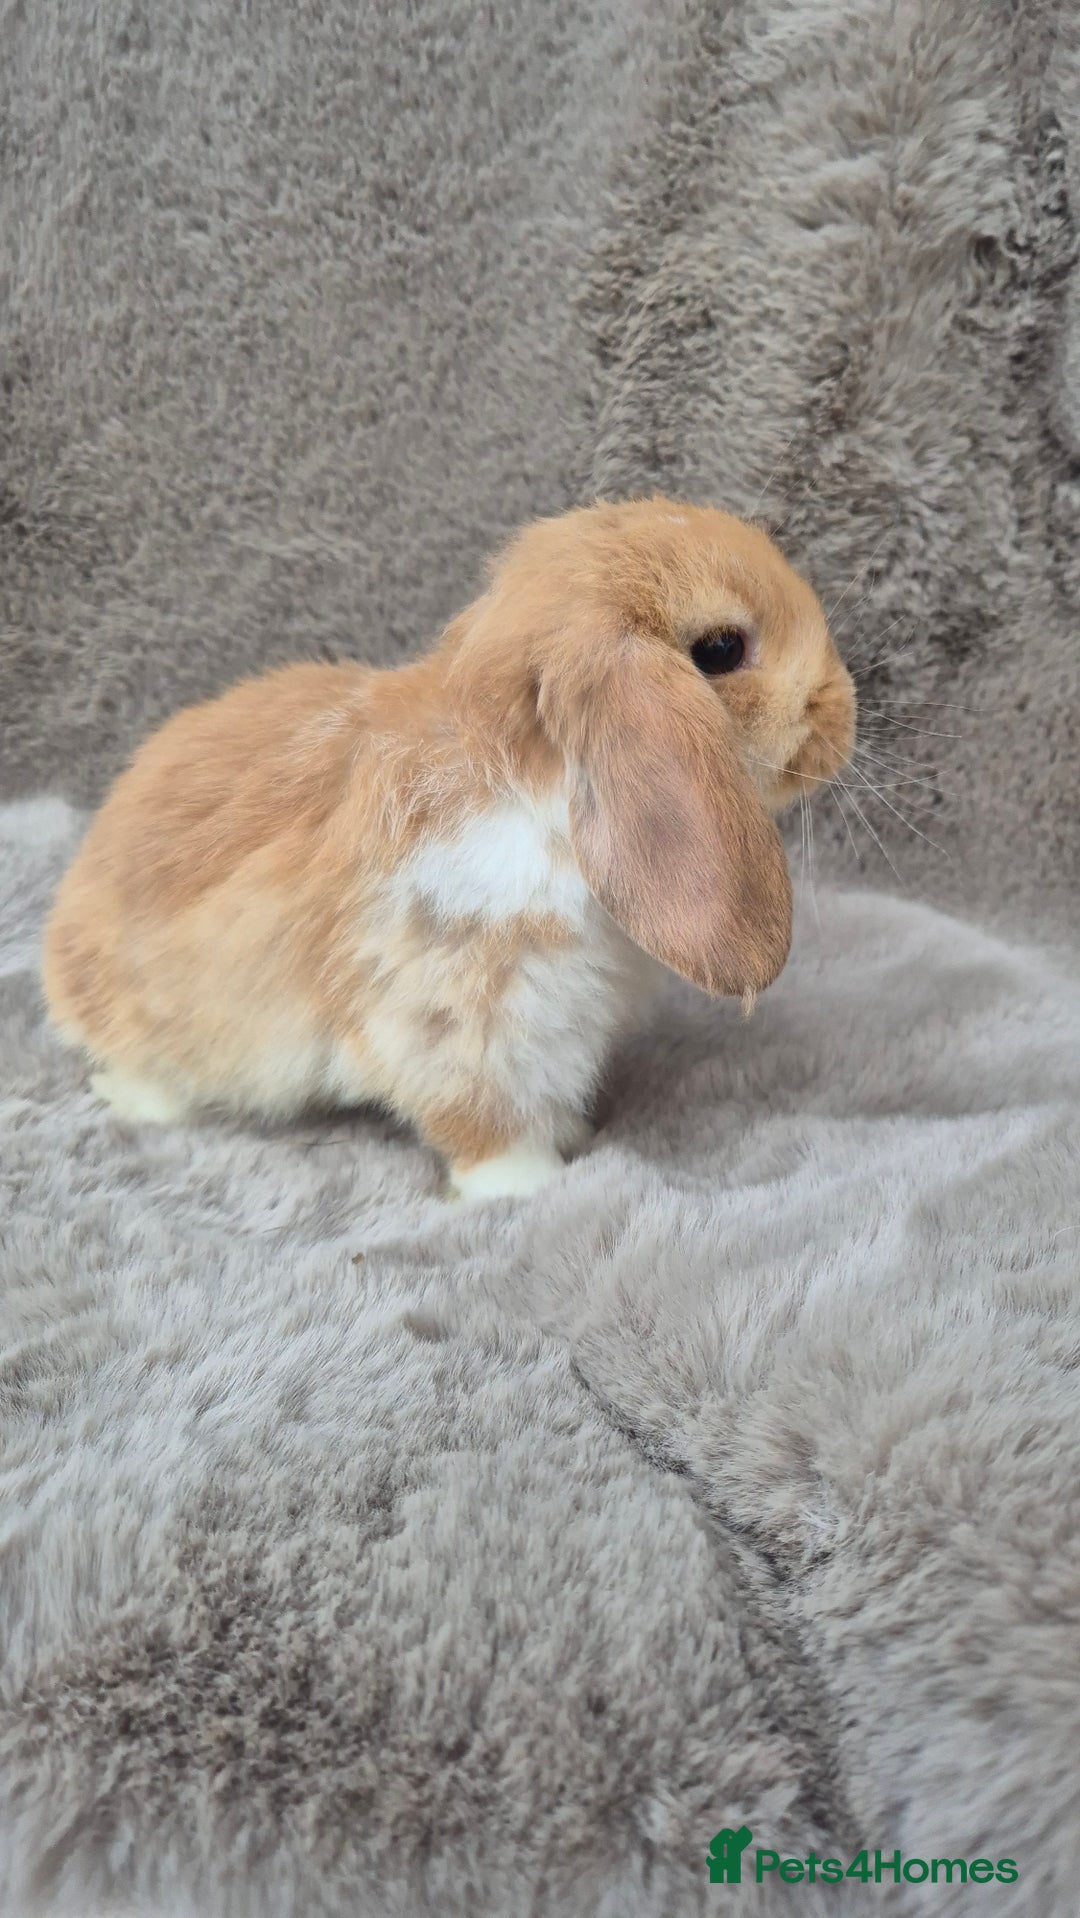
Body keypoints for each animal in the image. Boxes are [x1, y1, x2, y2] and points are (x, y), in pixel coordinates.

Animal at [43, 496, 856, 1202]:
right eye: (721, 649)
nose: (845, 710)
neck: (539, 788)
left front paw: (575, 1135)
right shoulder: (457, 1018)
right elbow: (485, 1120)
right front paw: (528, 1184)